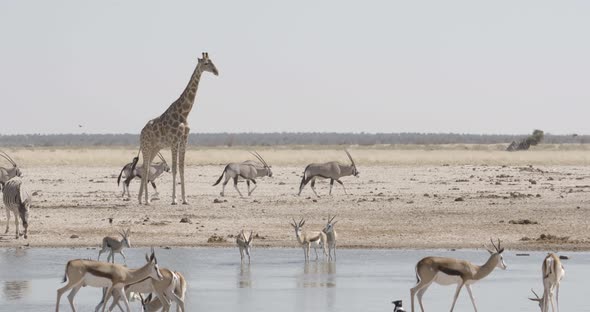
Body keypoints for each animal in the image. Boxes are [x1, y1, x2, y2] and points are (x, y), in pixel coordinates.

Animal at [138, 51, 219, 205]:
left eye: (213, 61)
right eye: (206, 63)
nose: (216, 71)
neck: (184, 113)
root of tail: (141, 132)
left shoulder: (184, 140)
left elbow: (182, 168)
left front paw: (185, 199)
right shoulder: (174, 141)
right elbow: (175, 169)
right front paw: (174, 199)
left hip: (155, 147)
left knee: (146, 167)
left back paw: (140, 199)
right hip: (146, 146)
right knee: (144, 168)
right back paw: (146, 200)